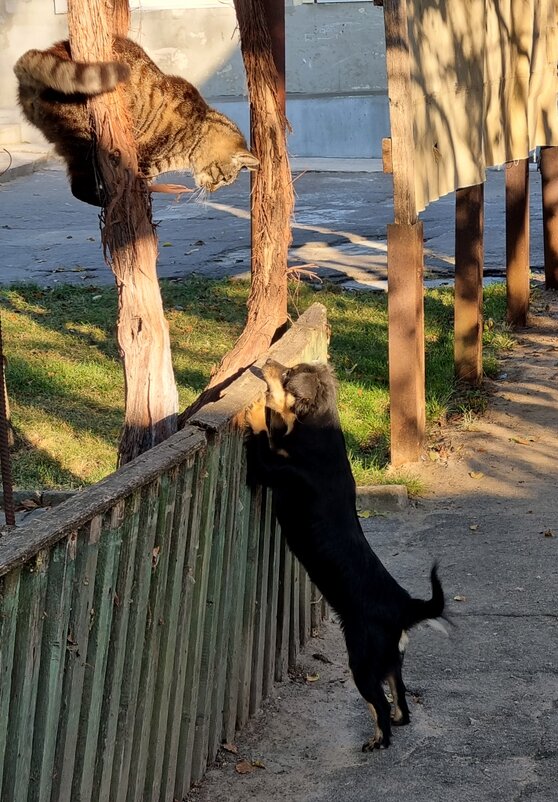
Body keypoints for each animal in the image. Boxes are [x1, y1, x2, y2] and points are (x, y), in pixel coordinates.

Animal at [12, 38, 258, 206]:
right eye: (223, 179)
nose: (213, 190)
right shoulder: (145, 162)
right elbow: (143, 183)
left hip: (69, 142)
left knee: (77, 186)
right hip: (85, 140)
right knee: (81, 187)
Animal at [247, 360, 448, 748]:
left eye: (287, 374)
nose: (267, 361)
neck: (316, 432)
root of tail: (404, 607)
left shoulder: (273, 470)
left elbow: (265, 437)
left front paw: (252, 413)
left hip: (362, 661)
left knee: (380, 705)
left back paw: (377, 741)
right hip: (391, 660)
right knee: (400, 698)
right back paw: (395, 721)